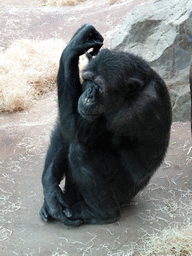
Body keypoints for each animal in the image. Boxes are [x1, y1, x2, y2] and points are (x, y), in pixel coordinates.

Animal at [39, 23, 172, 225]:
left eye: (100, 87)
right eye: (87, 80)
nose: (88, 96)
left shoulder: (135, 111)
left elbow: (76, 130)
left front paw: (71, 49)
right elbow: (64, 129)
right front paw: (52, 195)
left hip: (123, 194)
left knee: (81, 150)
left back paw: (100, 213)